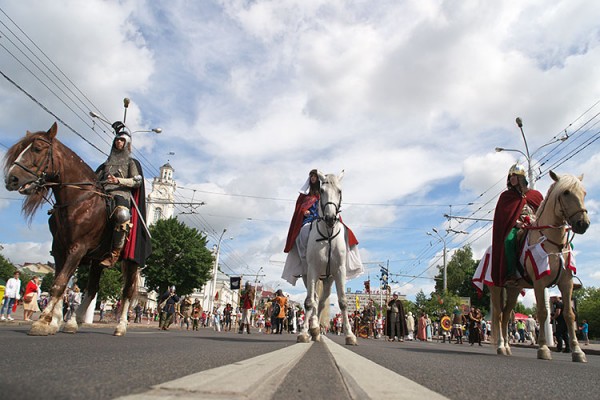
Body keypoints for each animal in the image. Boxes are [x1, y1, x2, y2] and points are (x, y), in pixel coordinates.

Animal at [3, 123, 145, 336]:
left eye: (37, 148)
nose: (11, 179)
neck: (79, 201)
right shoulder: (60, 249)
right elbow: (61, 283)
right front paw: (54, 322)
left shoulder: (78, 247)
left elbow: (60, 283)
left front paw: (41, 322)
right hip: (97, 260)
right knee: (92, 289)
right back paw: (74, 321)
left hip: (131, 262)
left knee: (127, 292)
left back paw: (120, 326)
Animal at [296, 170, 356, 346]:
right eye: (322, 191)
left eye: (340, 191)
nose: (330, 218)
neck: (328, 235)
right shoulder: (312, 270)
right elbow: (309, 302)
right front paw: (303, 332)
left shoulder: (339, 271)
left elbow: (343, 302)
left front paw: (350, 335)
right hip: (308, 275)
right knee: (314, 299)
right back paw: (313, 328)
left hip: (328, 279)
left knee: (321, 301)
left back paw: (316, 329)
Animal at [492, 172, 592, 362]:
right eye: (566, 192)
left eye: (584, 192)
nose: (583, 224)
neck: (554, 243)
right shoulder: (539, 282)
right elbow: (542, 313)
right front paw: (544, 349)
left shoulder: (566, 282)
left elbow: (569, 314)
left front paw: (577, 351)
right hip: (497, 286)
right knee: (499, 314)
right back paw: (501, 346)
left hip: (514, 289)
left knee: (507, 315)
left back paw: (507, 348)